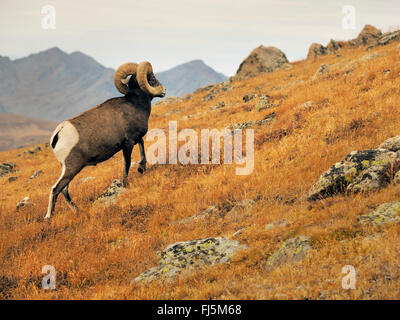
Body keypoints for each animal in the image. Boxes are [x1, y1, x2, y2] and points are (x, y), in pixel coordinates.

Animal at [45, 61, 166, 219]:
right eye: (152, 78)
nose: (164, 91)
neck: (135, 104)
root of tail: (59, 132)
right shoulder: (128, 144)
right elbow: (127, 164)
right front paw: (125, 183)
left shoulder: (135, 139)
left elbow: (142, 144)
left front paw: (141, 167)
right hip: (72, 168)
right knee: (56, 189)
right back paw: (49, 217)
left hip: (67, 169)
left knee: (64, 190)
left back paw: (76, 210)